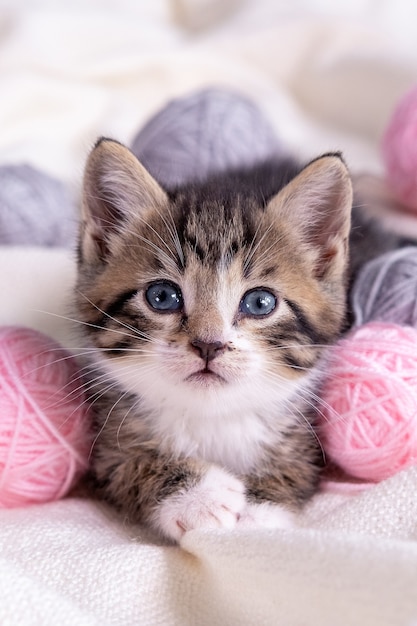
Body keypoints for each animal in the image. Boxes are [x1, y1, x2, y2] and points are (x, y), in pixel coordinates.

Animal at [73, 138, 360, 540]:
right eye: (162, 296)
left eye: (260, 303)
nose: (209, 344)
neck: (211, 415)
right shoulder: (106, 445)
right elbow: (127, 461)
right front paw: (200, 497)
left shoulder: (306, 439)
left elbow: (295, 466)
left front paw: (256, 514)